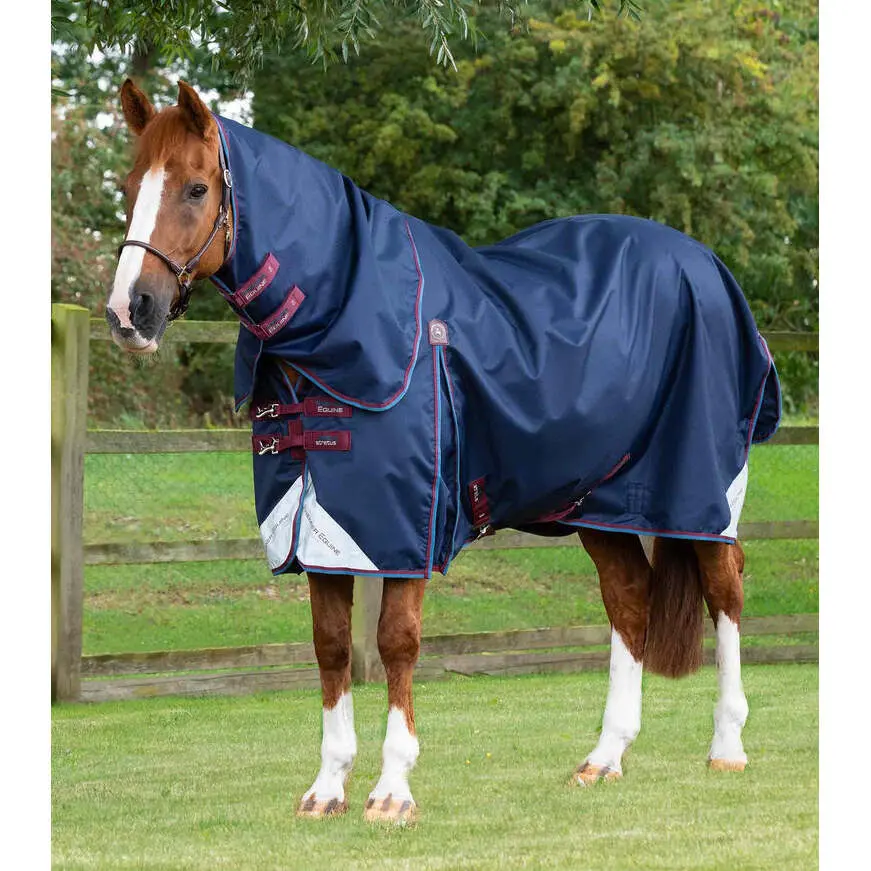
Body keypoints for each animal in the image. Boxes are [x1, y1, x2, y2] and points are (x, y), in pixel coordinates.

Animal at [105, 79, 781, 824]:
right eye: (130, 185)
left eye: (196, 188)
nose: (129, 310)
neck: (344, 325)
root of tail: (707, 267)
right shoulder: (320, 529)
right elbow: (331, 645)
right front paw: (327, 788)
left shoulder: (400, 526)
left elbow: (395, 642)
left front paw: (392, 791)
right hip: (599, 505)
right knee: (628, 599)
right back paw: (604, 757)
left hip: (700, 491)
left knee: (725, 588)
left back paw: (727, 745)